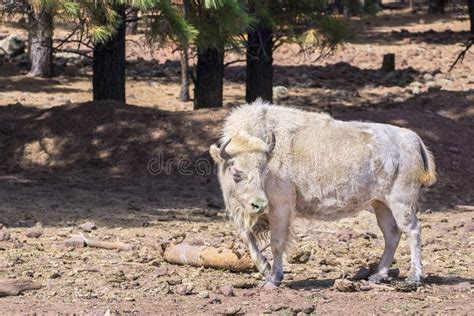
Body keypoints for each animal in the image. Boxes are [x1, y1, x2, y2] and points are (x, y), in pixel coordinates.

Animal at [209, 100, 436, 288]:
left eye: (263, 170)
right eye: (236, 173)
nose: (259, 204)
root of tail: (412, 138)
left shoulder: (280, 208)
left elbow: (277, 243)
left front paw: (274, 278)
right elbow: (248, 239)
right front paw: (265, 269)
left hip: (401, 202)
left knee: (412, 230)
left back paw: (413, 278)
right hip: (381, 204)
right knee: (391, 234)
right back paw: (377, 276)